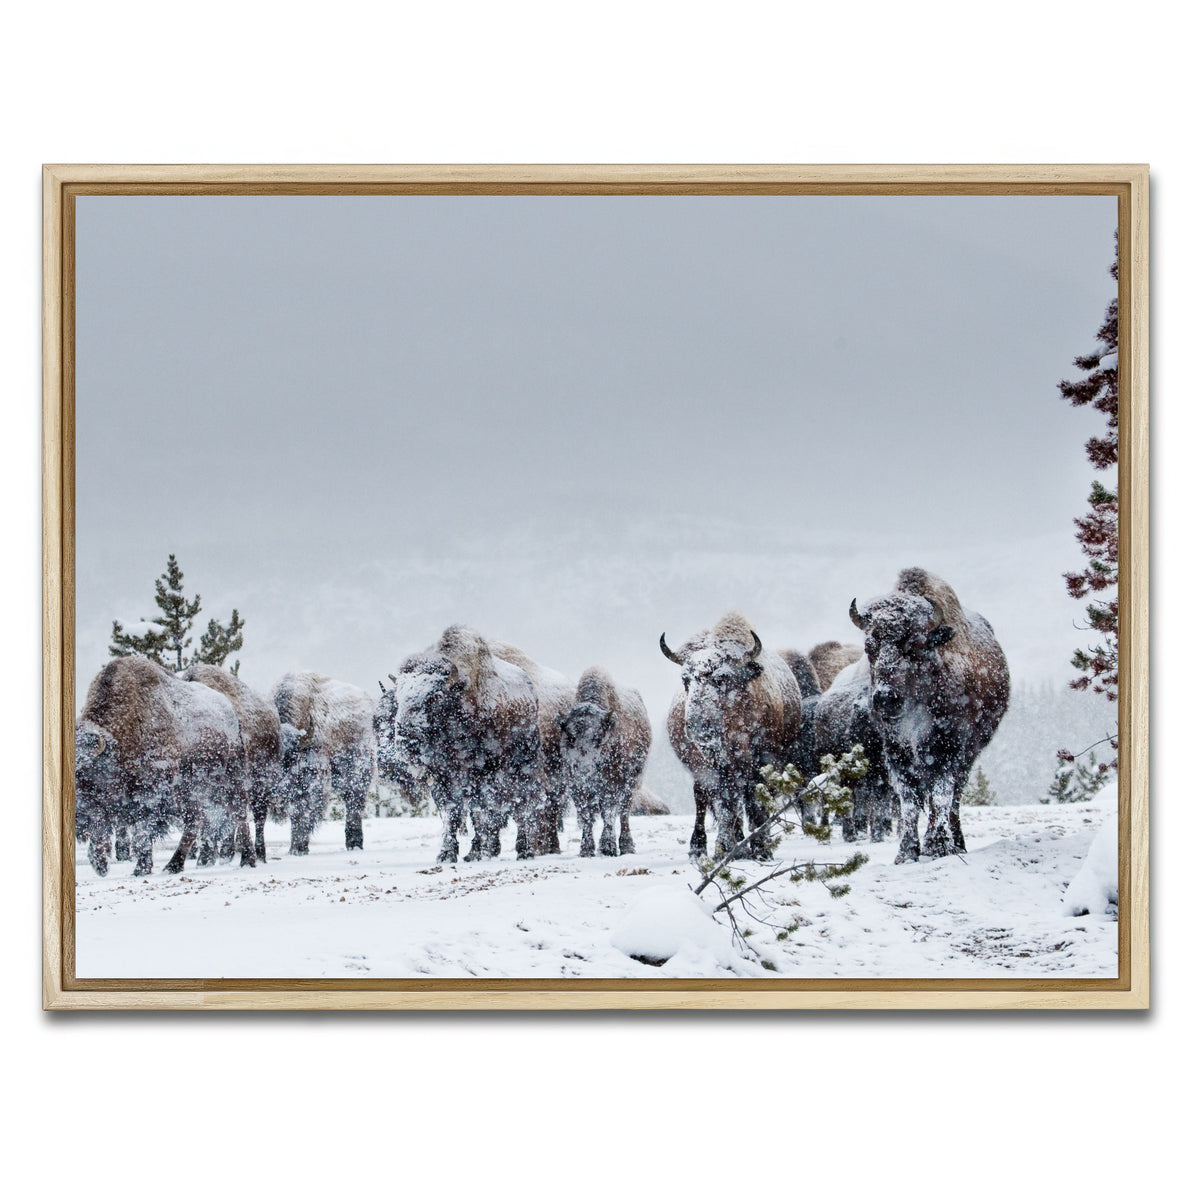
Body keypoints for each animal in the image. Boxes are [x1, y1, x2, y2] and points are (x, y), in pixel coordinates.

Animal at [75, 655, 254, 876]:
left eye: (83, 772)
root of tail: (230, 710)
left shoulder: (150, 792)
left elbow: (143, 831)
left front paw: (140, 869)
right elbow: (103, 829)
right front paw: (100, 864)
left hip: (231, 777)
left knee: (239, 813)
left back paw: (247, 859)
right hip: (191, 789)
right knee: (195, 820)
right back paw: (174, 865)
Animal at [273, 672, 376, 855]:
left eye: (288, 758)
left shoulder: (311, 777)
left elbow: (302, 810)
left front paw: (298, 848)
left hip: (358, 768)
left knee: (354, 802)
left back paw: (354, 843)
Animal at [556, 666, 652, 857]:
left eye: (598, 737)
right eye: (570, 737)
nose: (584, 770)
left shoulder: (613, 785)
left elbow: (609, 813)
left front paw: (607, 847)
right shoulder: (577, 787)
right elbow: (586, 815)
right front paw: (586, 849)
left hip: (632, 782)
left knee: (624, 813)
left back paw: (627, 846)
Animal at [661, 612, 805, 861]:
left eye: (722, 678)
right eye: (685, 679)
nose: (697, 727)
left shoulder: (763, 761)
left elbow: (755, 801)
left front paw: (761, 848)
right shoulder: (713, 767)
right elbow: (724, 804)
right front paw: (725, 847)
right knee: (703, 799)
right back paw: (700, 847)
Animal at [849, 567, 1010, 863]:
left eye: (914, 645)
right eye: (869, 647)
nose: (885, 698)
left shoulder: (947, 747)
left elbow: (940, 794)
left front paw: (937, 846)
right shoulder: (897, 751)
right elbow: (909, 801)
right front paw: (906, 852)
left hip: (970, 752)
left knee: (955, 795)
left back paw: (957, 843)